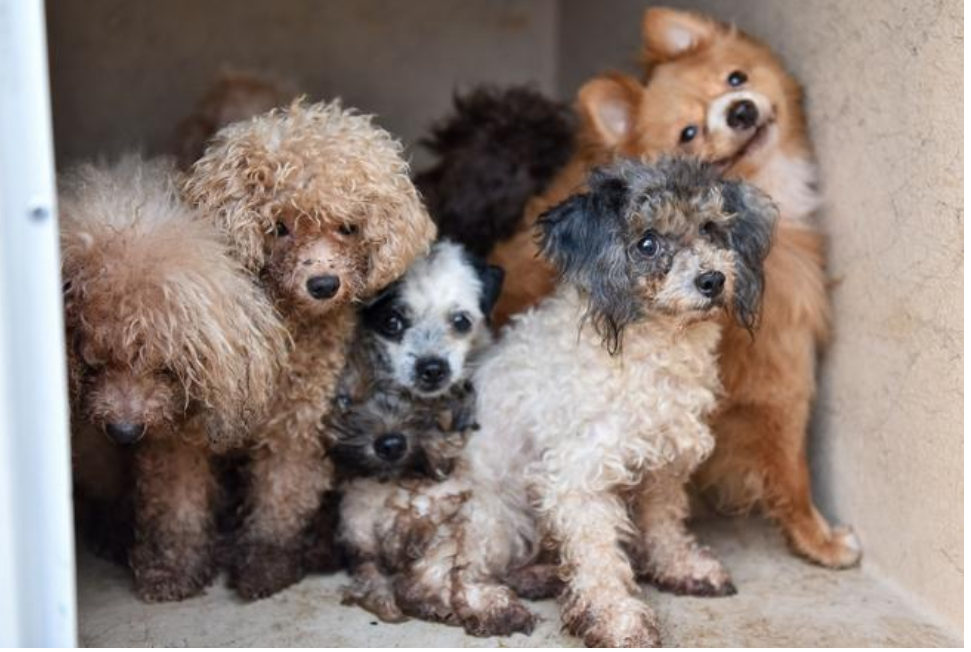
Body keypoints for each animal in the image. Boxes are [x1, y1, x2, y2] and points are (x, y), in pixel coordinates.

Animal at [181, 98, 436, 600]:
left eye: (349, 227)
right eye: (278, 227)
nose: (322, 284)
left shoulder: (295, 429)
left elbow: (280, 501)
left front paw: (265, 565)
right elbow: (178, 498)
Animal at [490, 8, 860, 572]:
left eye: (736, 78)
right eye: (689, 133)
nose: (740, 110)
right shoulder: (779, 371)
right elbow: (791, 464)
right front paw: (819, 539)